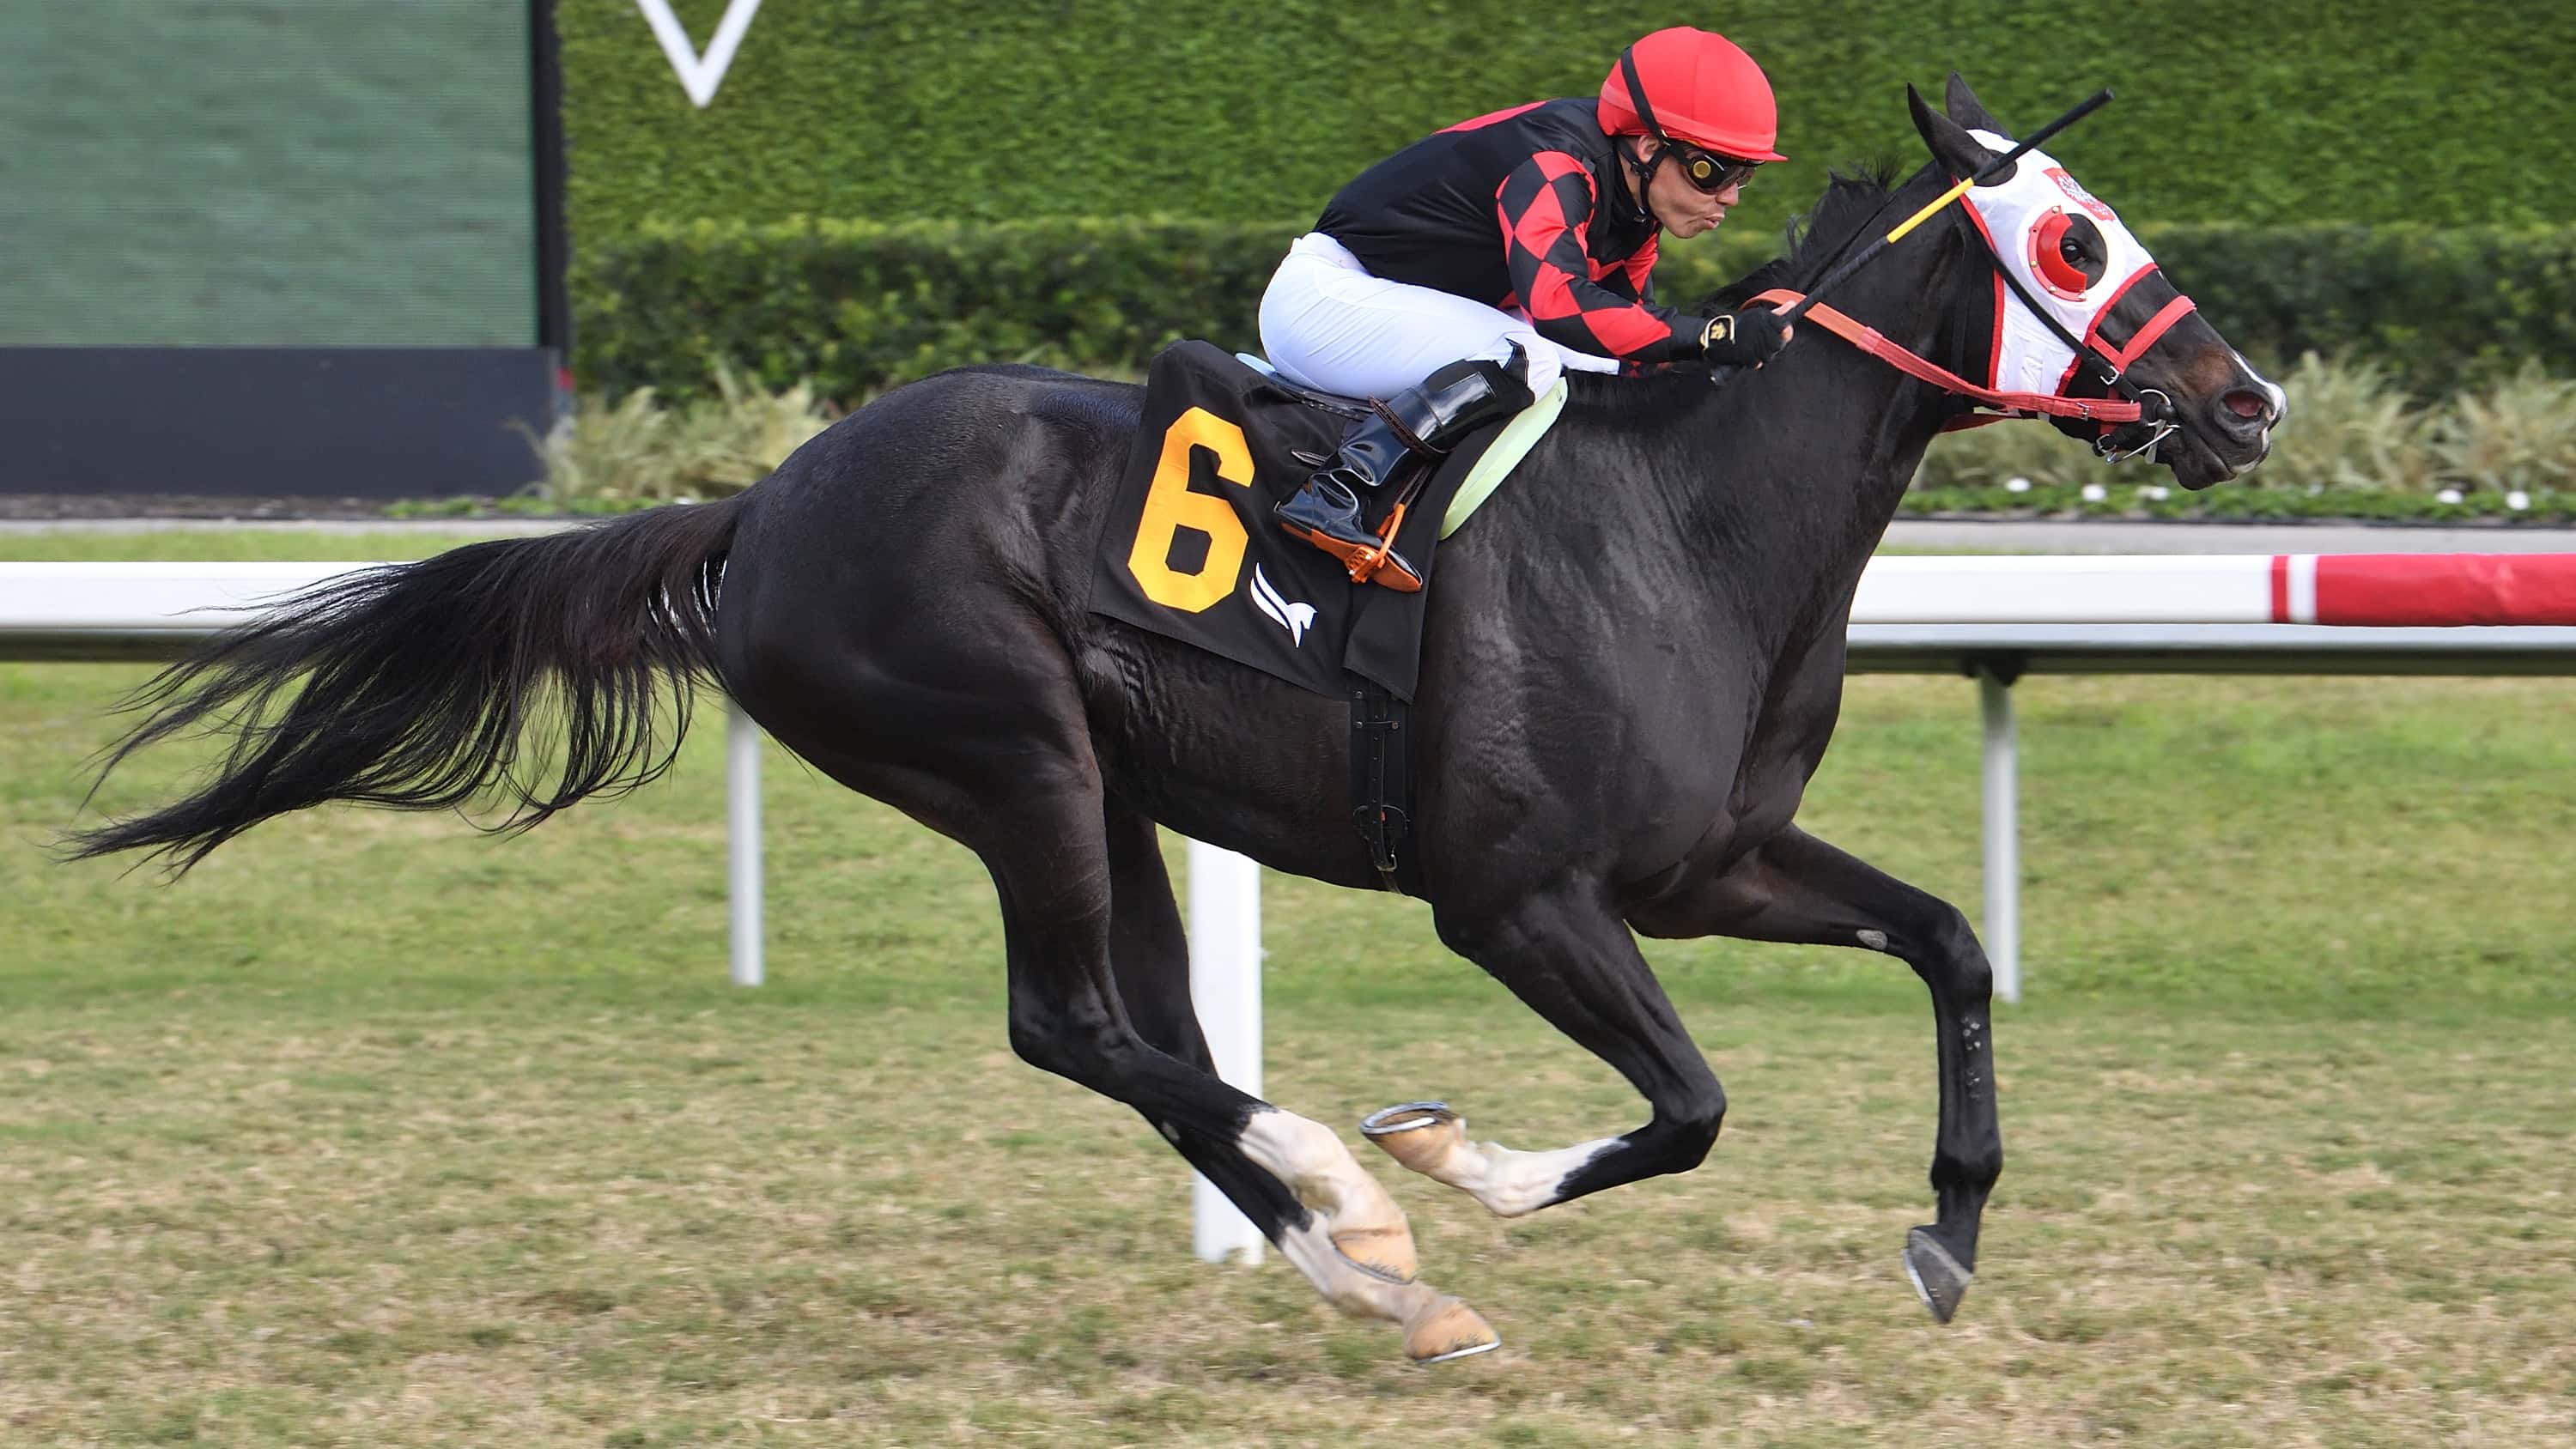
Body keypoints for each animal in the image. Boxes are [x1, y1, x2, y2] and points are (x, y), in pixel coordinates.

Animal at [71, 77, 2281, 1362]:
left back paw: (1353, 1263)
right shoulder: (1516, 895)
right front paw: (1449, 1159)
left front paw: (1950, 1230)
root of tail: (762, 504)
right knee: (1078, 1026)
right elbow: (1688, 1105)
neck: (1687, 520)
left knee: (1138, 1033)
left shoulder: (1708, 860)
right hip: (1009, 754)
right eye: (2073, 239)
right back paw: (1355, 1205)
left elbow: (1950, 943)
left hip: (1104, 787)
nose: (2245, 401)